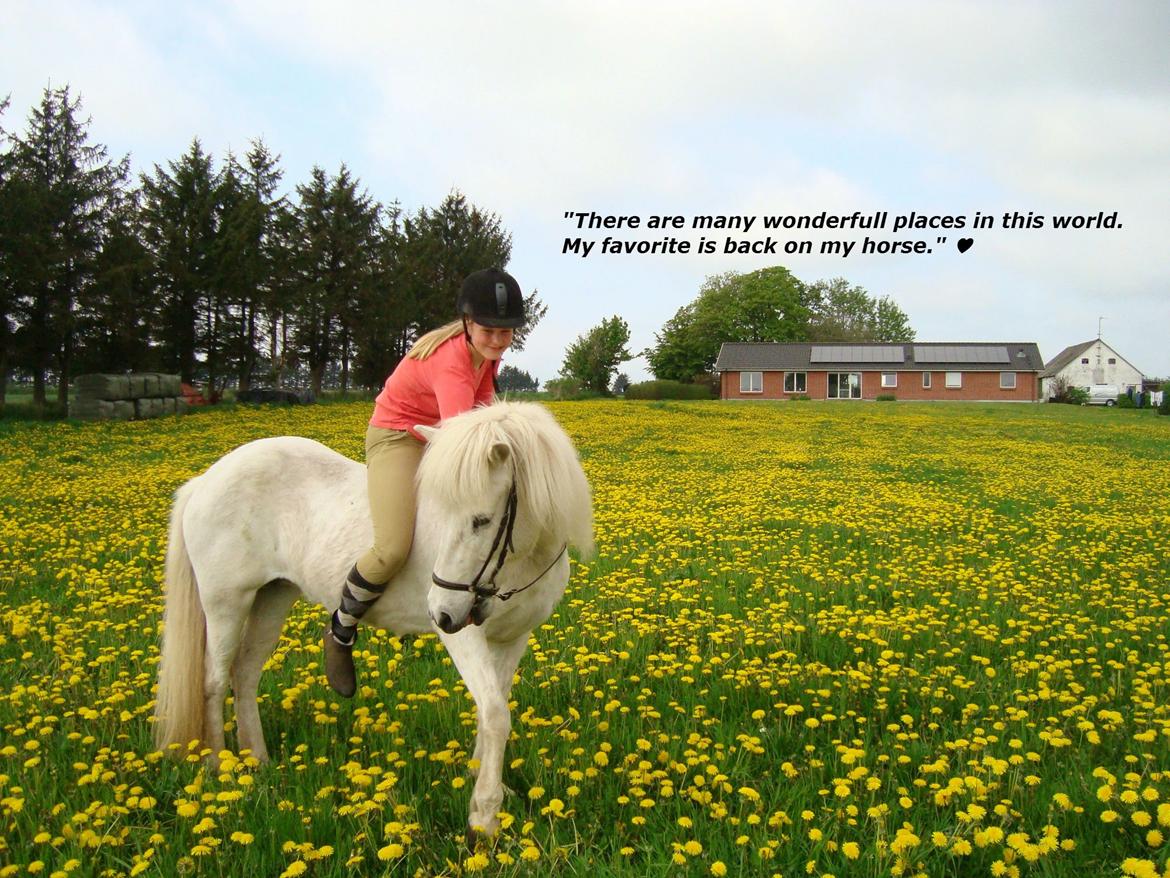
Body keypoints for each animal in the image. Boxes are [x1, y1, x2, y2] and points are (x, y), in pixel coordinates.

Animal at [153, 402, 594, 833]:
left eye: (481, 520)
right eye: (447, 515)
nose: (441, 611)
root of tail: (205, 480)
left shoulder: (511, 638)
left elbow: (494, 707)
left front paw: (485, 783)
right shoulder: (464, 636)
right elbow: (496, 714)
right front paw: (484, 818)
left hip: (273, 596)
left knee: (244, 673)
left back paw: (257, 762)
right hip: (226, 602)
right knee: (213, 681)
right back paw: (220, 768)